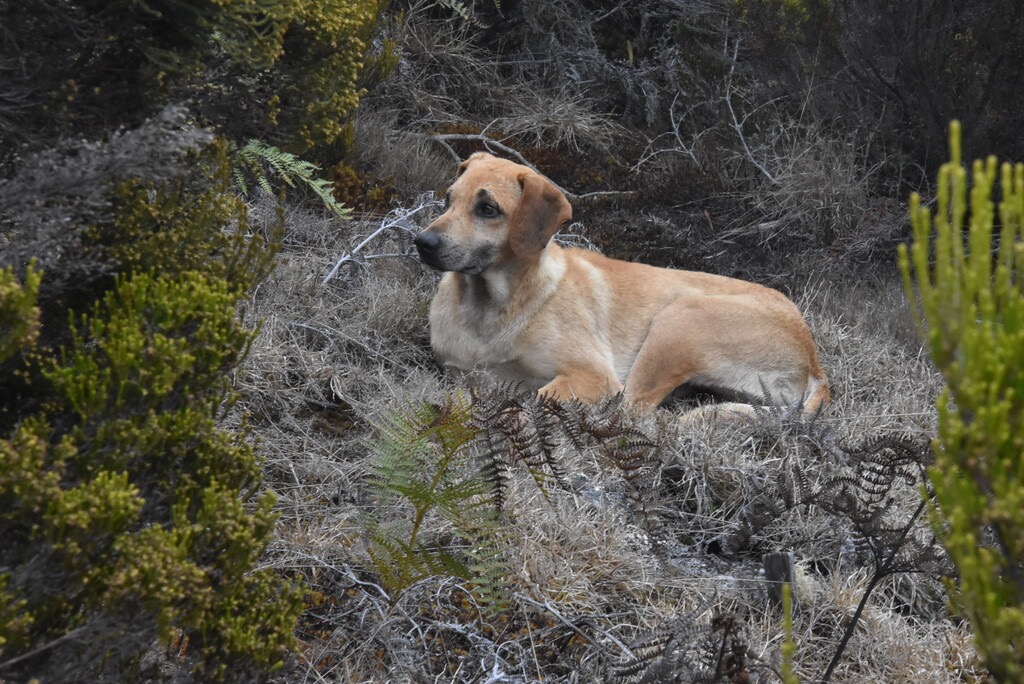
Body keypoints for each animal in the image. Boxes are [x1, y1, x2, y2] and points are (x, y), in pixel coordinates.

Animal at [411, 153, 827, 421]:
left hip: (679, 321)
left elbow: (535, 398)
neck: (490, 309)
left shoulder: (594, 377)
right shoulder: (460, 377)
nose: (422, 242)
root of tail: (814, 358)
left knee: (634, 414)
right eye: (449, 199)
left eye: (488, 209)